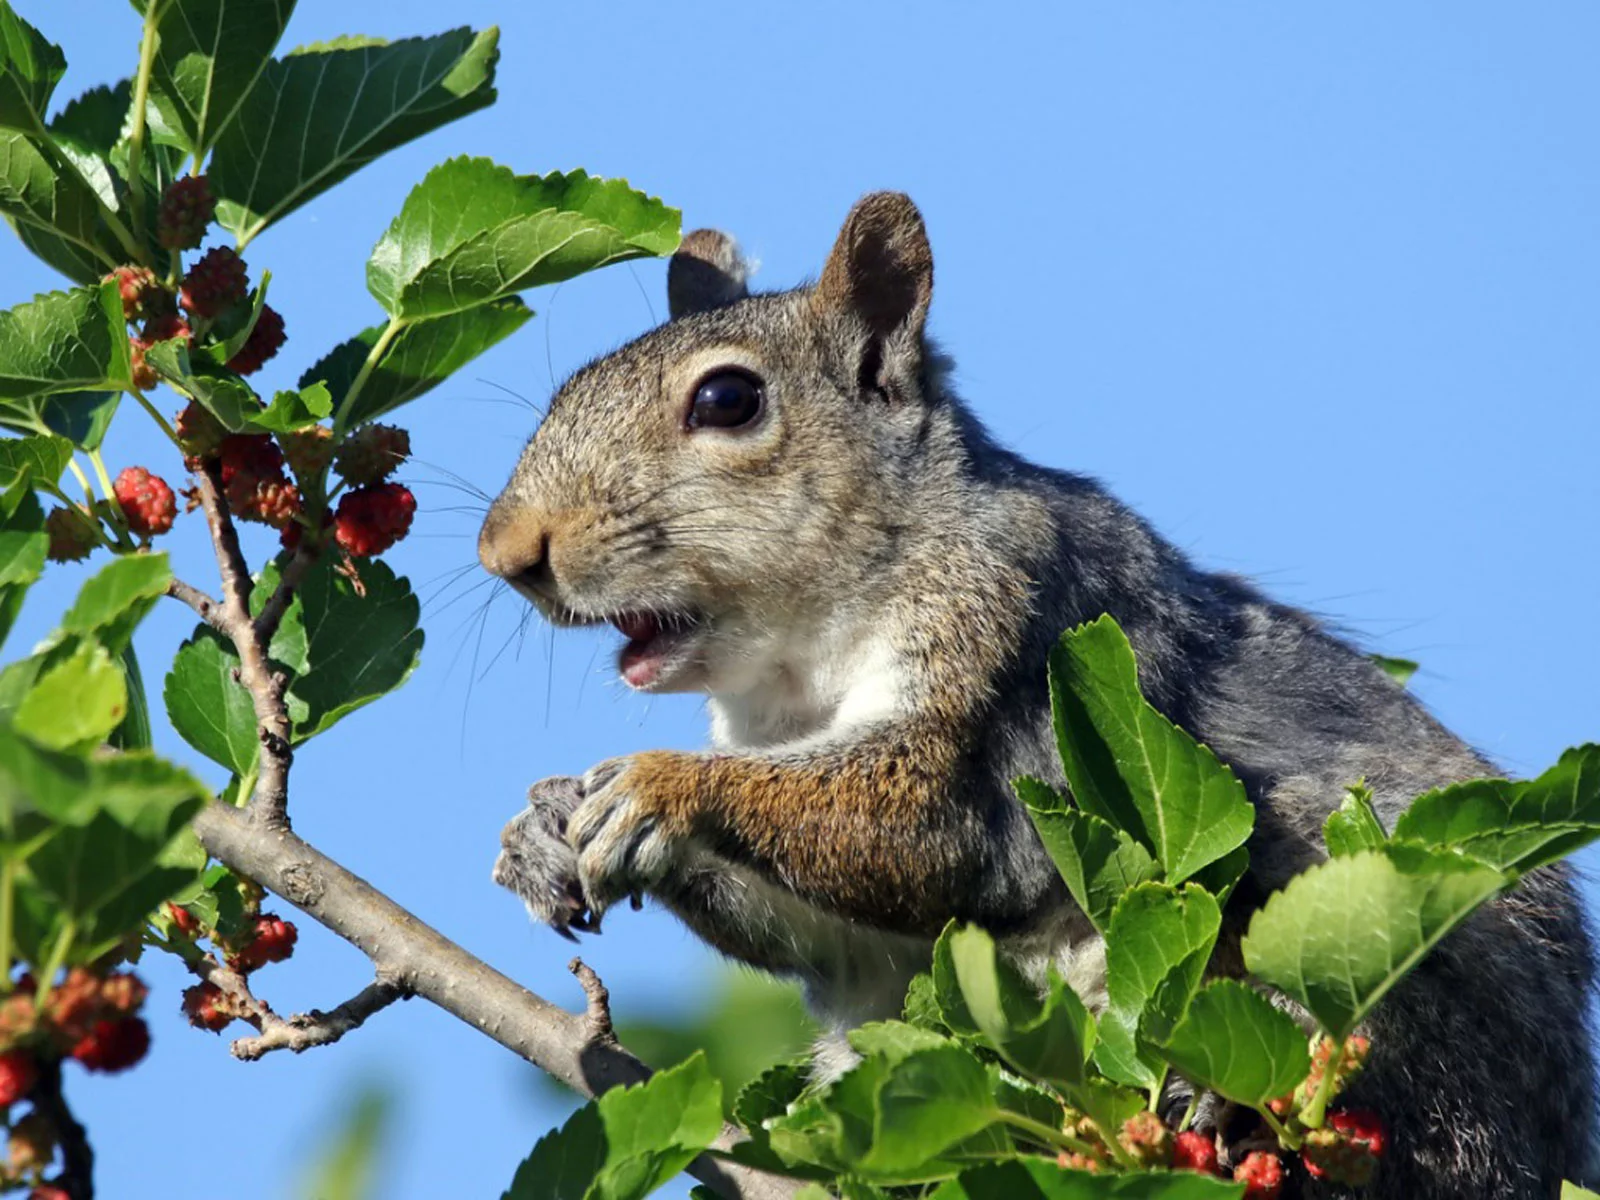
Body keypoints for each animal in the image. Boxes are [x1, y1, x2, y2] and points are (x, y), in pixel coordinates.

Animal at [480, 192, 1593, 1196]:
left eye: (727, 402)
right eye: (566, 387)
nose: (508, 552)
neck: (802, 662)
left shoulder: (1018, 634)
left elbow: (936, 831)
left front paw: (662, 786)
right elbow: (825, 929)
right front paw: (545, 827)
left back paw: (1220, 1104)